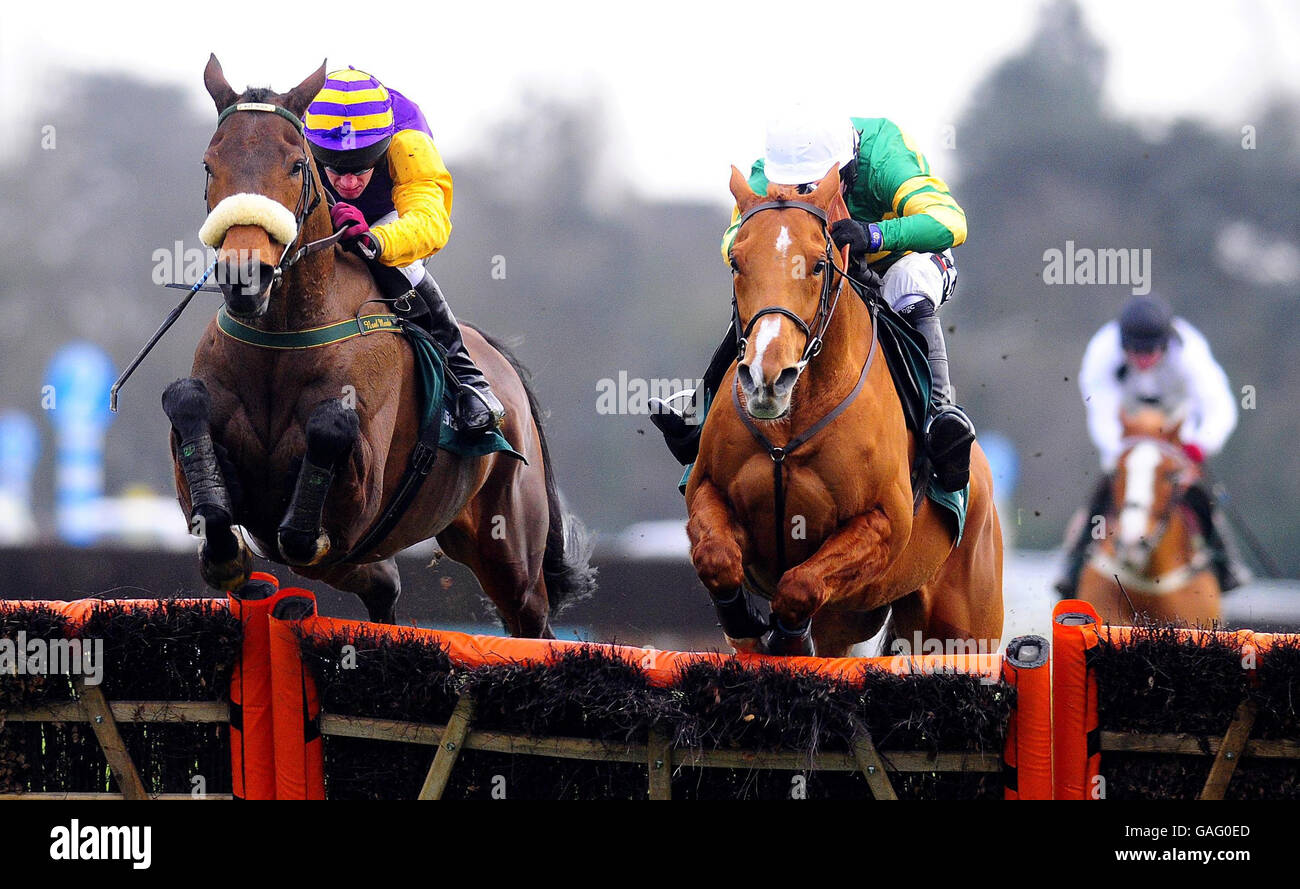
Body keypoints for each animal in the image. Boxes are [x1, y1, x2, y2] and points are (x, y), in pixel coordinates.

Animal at [158, 59, 598, 631]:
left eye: (296, 166)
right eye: (210, 166)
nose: (245, 276)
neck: (282, 337)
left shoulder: (359, 497)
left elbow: (324, 450)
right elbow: (191, 425)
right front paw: (235, 564)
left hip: (511, 551)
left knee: (530, 621)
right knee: (379, 580)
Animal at [691, 166, 1003, 655]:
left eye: (819, 264)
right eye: (737, 262)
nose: (766, 378)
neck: (789, 426)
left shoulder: (882, 525)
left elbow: (800, 586)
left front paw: (788, 640)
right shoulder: (707, 491)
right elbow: (716, 556)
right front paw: (747, 623)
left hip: (961, 627)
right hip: (853, 619)